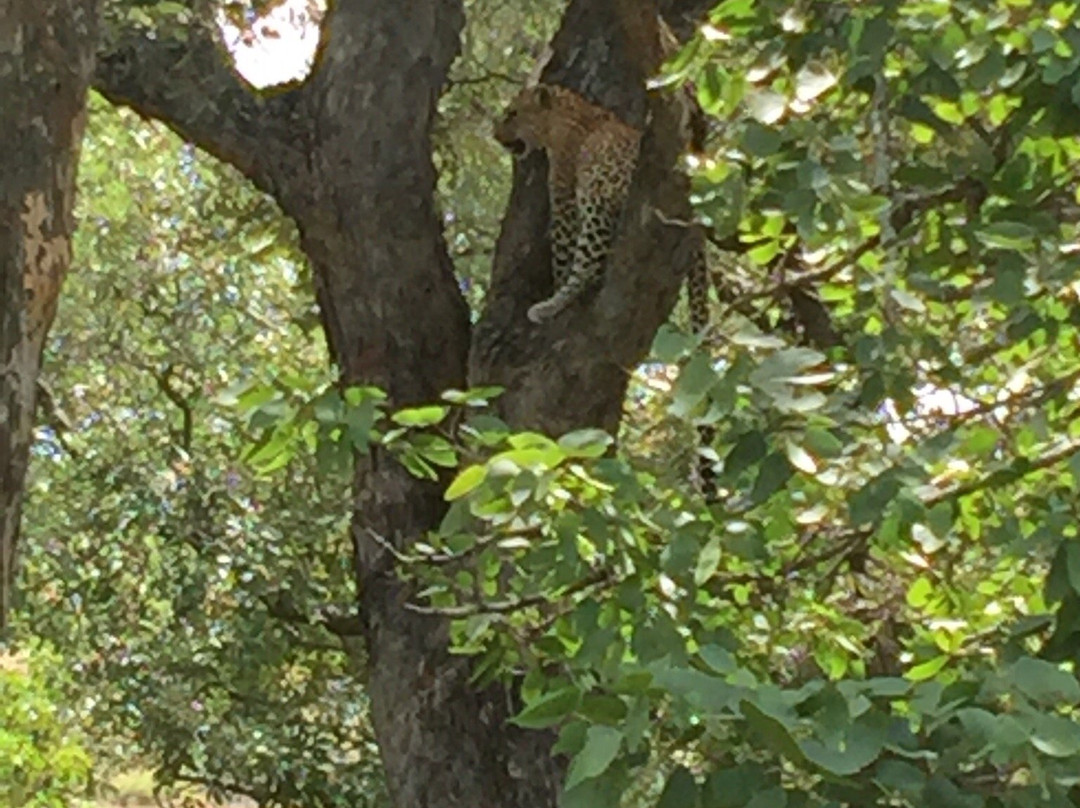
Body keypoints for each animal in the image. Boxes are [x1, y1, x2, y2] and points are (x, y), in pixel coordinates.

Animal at [494, 85, 717, 494]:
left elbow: (564, 253)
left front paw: (554, 290)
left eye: (513, 114)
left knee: (591, 266)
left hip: (598, 190)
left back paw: (549, 306)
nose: (496, 134)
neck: (569, 110)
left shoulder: (565, 192)